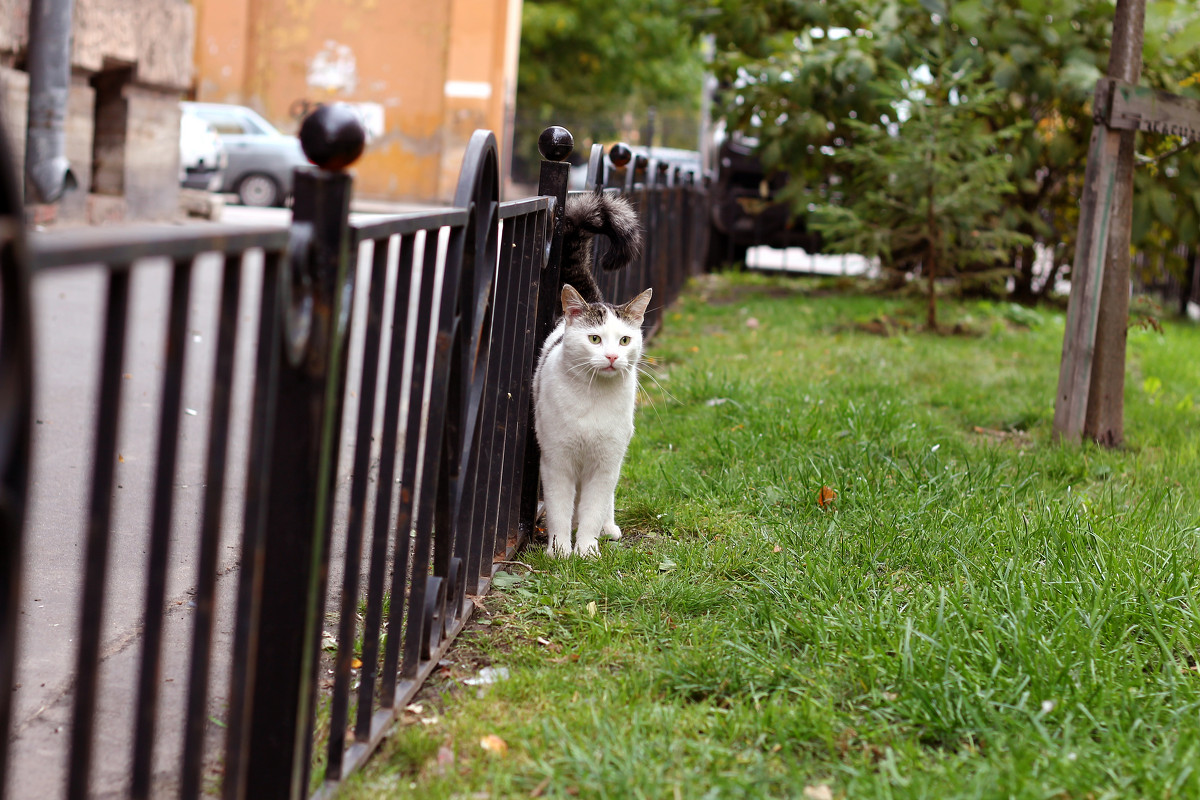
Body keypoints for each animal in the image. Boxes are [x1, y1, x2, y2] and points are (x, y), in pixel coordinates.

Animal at [532, 286, 652, 556]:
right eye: (594, 339)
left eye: (625, 340)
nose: (612, 356)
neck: (594, 394)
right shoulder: (557, 462)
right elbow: (558, 510)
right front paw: (559, 551)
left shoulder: (605, 463)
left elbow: (593, 509)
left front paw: (586, 550)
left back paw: (607, 527)